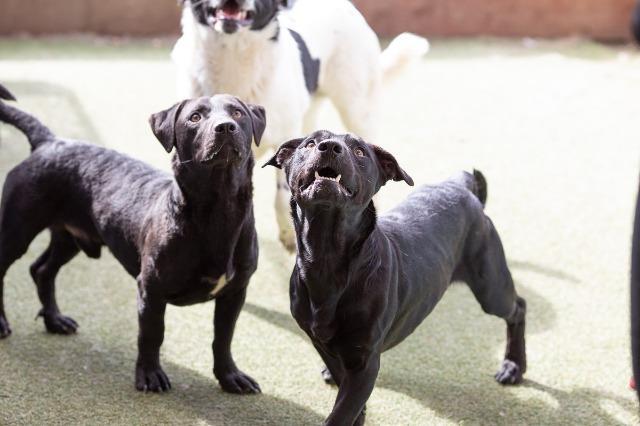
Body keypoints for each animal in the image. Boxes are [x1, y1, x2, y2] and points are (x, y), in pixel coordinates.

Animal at [0, 85, 264, 394]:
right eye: (195, 117)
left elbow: (223, 338)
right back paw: (3, 323)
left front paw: (230, 376)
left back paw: (55, 320)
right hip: (16, 230)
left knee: (42, 270)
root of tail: (49, 141)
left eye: (237, 112)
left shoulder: (235, 293)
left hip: (70, 237)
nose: (225, 127)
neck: (218, 212)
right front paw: (149, 375)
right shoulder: (151, 288)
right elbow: (152, 334)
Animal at [264, 131, 524, 426]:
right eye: (310, 143)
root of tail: (461, 185)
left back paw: (513, 367)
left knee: (518, 308)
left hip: (491, 288)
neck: (327, 259)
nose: (330, 146)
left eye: (360, 151)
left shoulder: (365, 363)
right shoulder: (321, 342)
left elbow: (342, 412)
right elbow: (346, 395)